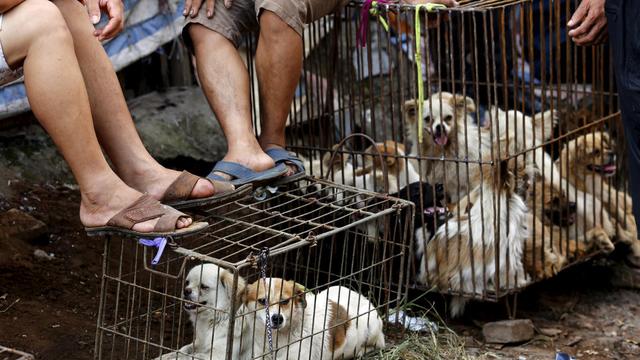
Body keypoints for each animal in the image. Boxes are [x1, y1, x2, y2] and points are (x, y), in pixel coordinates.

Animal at [245, 278, 384, 360]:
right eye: (262, 301)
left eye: (285, 301)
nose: (277, 318)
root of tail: (362, 297)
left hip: (371, 327)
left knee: (378, 344)